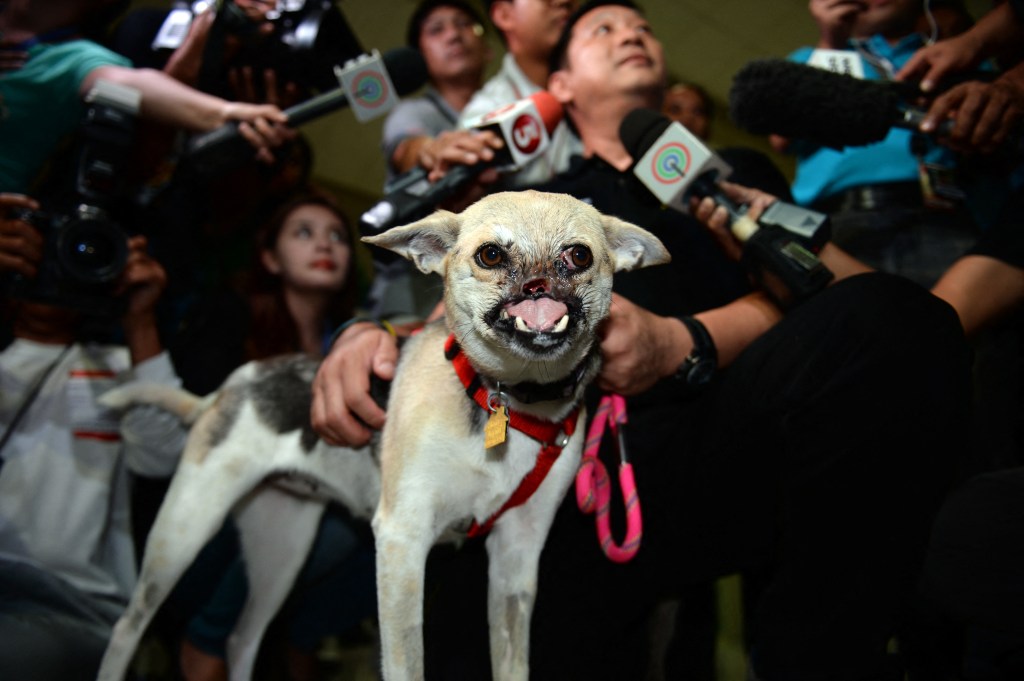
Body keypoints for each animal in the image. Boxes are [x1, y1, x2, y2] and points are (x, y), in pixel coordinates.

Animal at [97, 191, 671, 679]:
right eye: (489, 255)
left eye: (578, 255)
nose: (538, 287)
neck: (506, 401)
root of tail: (227, 388)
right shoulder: (402, 542)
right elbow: (405, 662)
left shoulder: (516, 560)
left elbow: (512, 664)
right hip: (184, 530)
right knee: (127, 625)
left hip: (281, 548)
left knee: (242, 638)